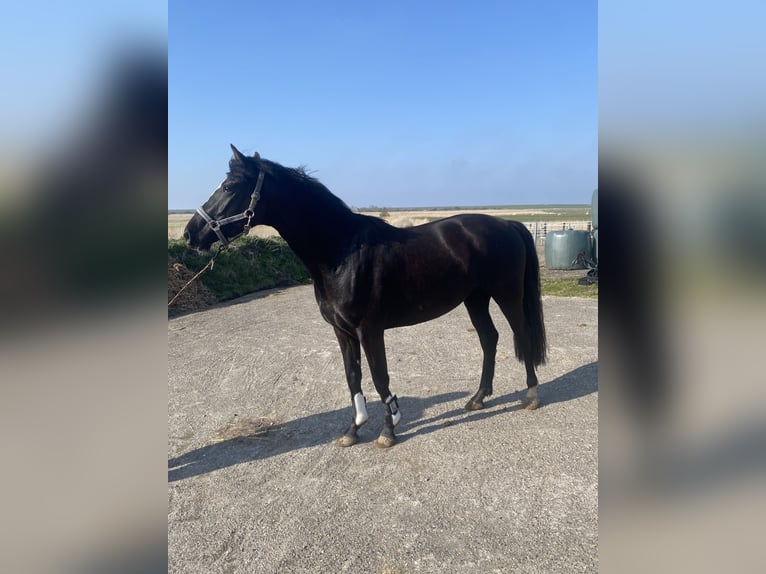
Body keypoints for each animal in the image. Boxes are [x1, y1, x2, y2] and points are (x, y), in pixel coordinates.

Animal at [184, 145, 547, 448]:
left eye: (230, 187)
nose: (190, 234)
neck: (341, 251)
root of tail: (508, 225)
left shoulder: (370, 330)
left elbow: (379, 377)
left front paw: (388, 431)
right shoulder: (342, 331)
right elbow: (353, 377)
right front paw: (353, 429)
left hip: (506, 295)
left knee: (521, 333)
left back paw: (531, 395)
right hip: (475, 298)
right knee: (489, 338)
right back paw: (478, 398)